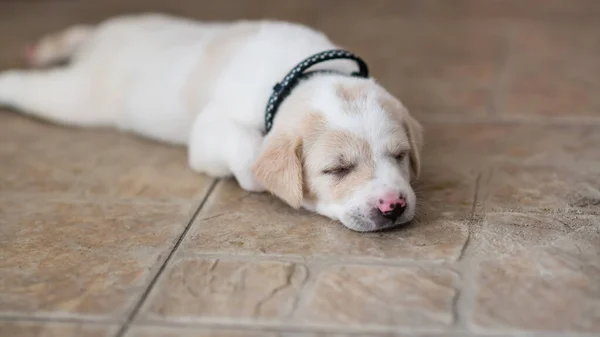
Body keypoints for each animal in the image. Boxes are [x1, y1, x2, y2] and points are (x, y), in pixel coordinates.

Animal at [0, 14, 422, 232]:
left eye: (400, 156)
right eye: (336, 170)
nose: (393, 205)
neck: (298, 75)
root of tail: (97, 50)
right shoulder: (207, 133)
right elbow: (249, 153)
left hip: (117, 32)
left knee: (81, 32)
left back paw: (45, 48)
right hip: (79, 99)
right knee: (33, 85)